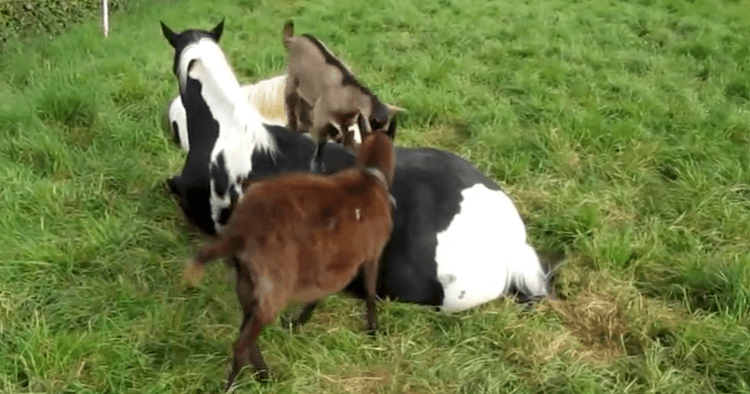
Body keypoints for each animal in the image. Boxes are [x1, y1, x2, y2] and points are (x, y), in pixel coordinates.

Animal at [184, 124, 396, 390]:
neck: (370, 177)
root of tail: (241, 231)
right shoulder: (370, 255)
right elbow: (369, 293)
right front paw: (373, 330)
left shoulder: (329, 264)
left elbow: (318, 295)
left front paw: (297, 323)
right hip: (273, 287)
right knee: (241, 344)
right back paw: (233, 385)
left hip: (248, 285)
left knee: (246, 335)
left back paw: (265, 376)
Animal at [282, 20, 406, 171]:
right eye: (373, 132)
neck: (350, 93)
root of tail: (294, 40)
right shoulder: (322, 116)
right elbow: (321, 142)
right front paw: (317, 165)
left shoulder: (346, 119)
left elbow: (346, 134)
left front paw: (348, 144)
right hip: (292, 79)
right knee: (290, 103)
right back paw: (293, 128)